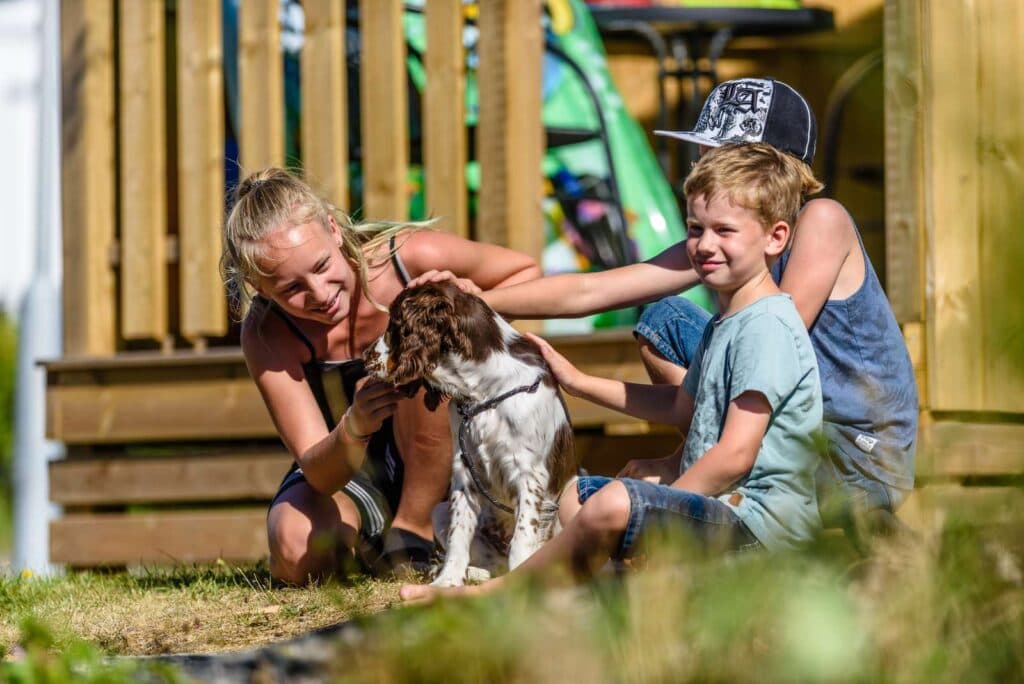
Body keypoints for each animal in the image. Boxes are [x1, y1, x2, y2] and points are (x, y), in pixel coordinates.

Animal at [366, 282, 577, 589]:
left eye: (395, 323)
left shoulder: (530, 474)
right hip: (438, 511)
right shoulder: (463, 468)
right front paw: (447, 581)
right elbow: (459, 532)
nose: (364, 356)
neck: (483, 392)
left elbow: (522, 538)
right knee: (493, 565)